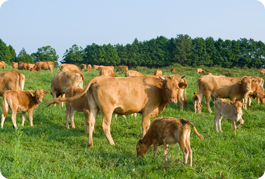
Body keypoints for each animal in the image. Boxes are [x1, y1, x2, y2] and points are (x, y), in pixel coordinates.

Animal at [47, 75, 188, 147]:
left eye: (177, 87)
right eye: (166, 87)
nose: (173, 100)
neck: (155, 88)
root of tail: (99, 78)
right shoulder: (147, 111)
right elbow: (145, 126)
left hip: (93, 108)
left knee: (91, 123)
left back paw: (90, 143)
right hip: (107, 109)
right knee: (105, 126)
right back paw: (112, 142)